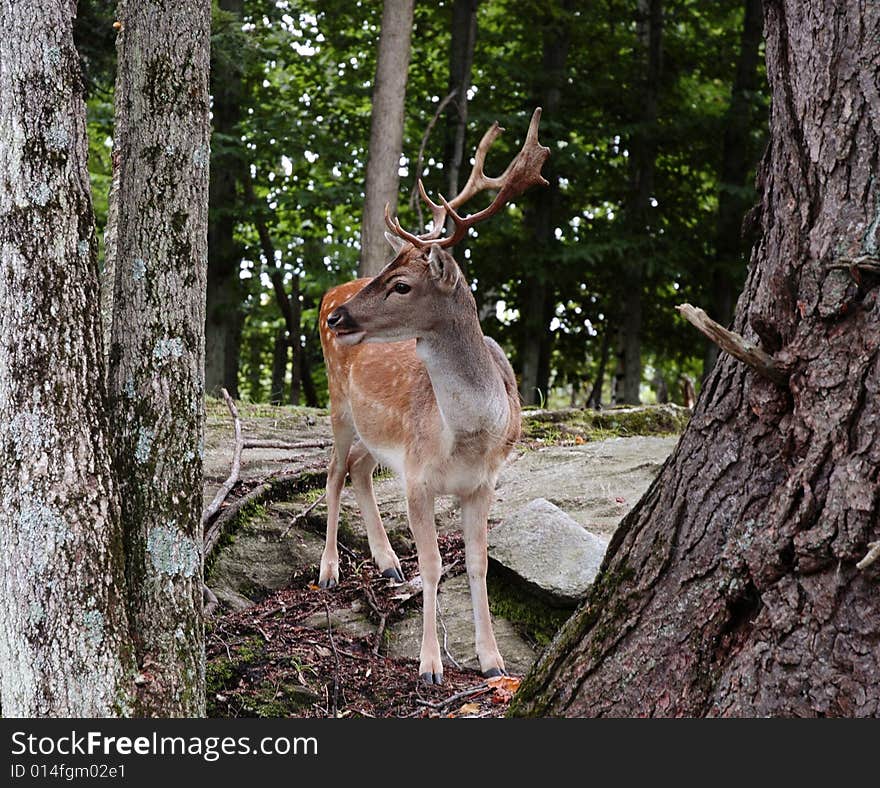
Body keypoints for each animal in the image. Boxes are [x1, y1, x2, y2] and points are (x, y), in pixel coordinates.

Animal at [316, 106, 552, 684]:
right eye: (386, 272)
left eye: (402, 284)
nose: (338, 318)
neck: (468, 435)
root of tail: (329, 290)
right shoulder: (419, 477)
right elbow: (433, 565)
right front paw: (429, 666)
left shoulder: (483, 483)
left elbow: (477, 563)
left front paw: (492, 661)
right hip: (338, 403)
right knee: (333, 471)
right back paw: (329, 570)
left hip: (375, 433)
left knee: (357, 469)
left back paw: (385, 562)